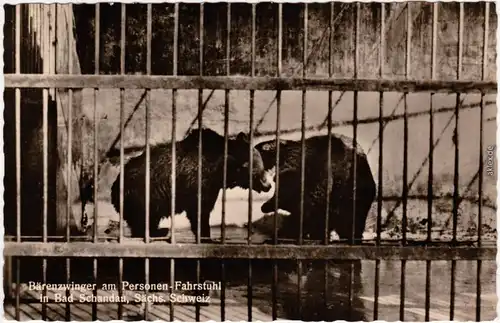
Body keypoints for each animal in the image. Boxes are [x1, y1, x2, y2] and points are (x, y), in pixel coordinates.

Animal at [111, 128, 272, 242]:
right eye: (256, 169)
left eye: (262, 165)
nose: (268, 185)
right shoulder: (199, 184)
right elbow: (199, 211)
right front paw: (206, 237)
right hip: (143, 195)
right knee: (142, 219)